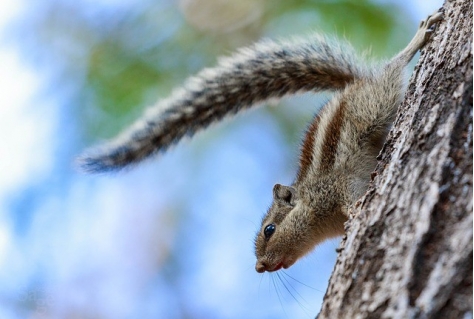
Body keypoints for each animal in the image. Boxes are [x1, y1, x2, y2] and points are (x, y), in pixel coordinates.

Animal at [78, 11, 444, 274]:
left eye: (269, 230)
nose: (258, 267)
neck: (314, 208)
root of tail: (352, 85)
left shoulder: (337, 186)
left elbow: (352, 197)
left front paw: (356, 210)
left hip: (374, 103)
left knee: (392, 68)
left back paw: (420, 36)